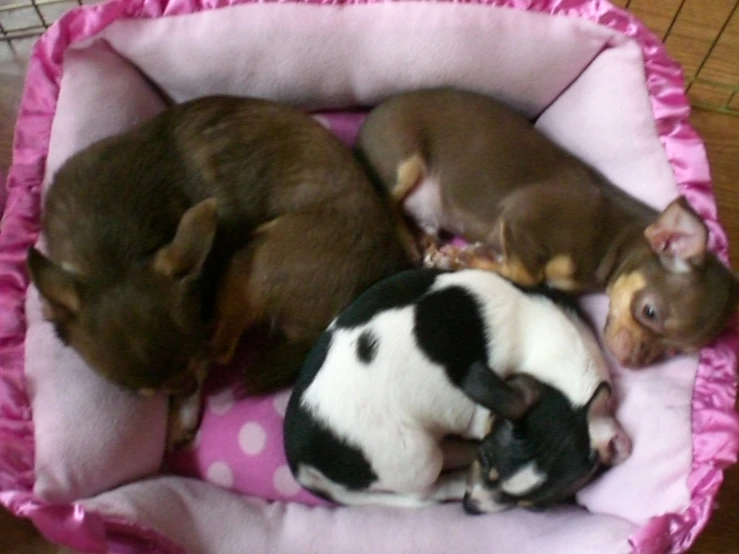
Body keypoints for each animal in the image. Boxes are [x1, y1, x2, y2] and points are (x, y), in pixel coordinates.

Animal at [356, 87, 736, 366]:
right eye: (649, 312)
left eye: (673, 351)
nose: (630, 362)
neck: (611, 242)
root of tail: (370, 117)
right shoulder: (521, 218)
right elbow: (526, 273)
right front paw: (467, 258)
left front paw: (469, 256)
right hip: (404, 163)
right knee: (388, 203)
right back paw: (411, 242)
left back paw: (425, 239)